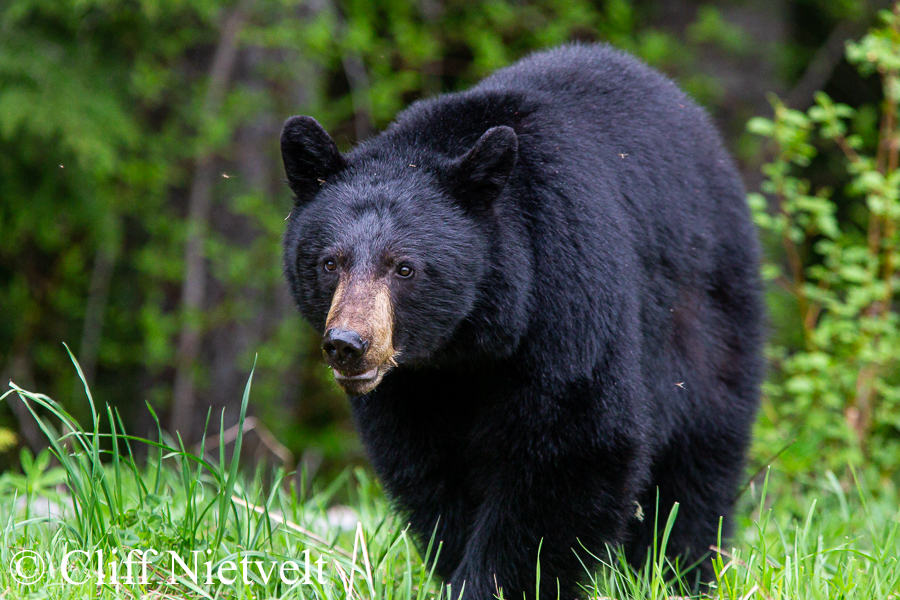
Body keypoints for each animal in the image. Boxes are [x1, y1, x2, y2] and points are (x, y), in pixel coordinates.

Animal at [280, 44, 760, 596]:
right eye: (328, 262)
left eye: (404, 267)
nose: (348, 344)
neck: (469, 343)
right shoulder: (412, 387)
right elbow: (431, 470)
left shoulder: (566, 290)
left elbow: (576, 444)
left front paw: (493, 582)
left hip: (708, 313)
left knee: (699, 459)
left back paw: (679, 570)